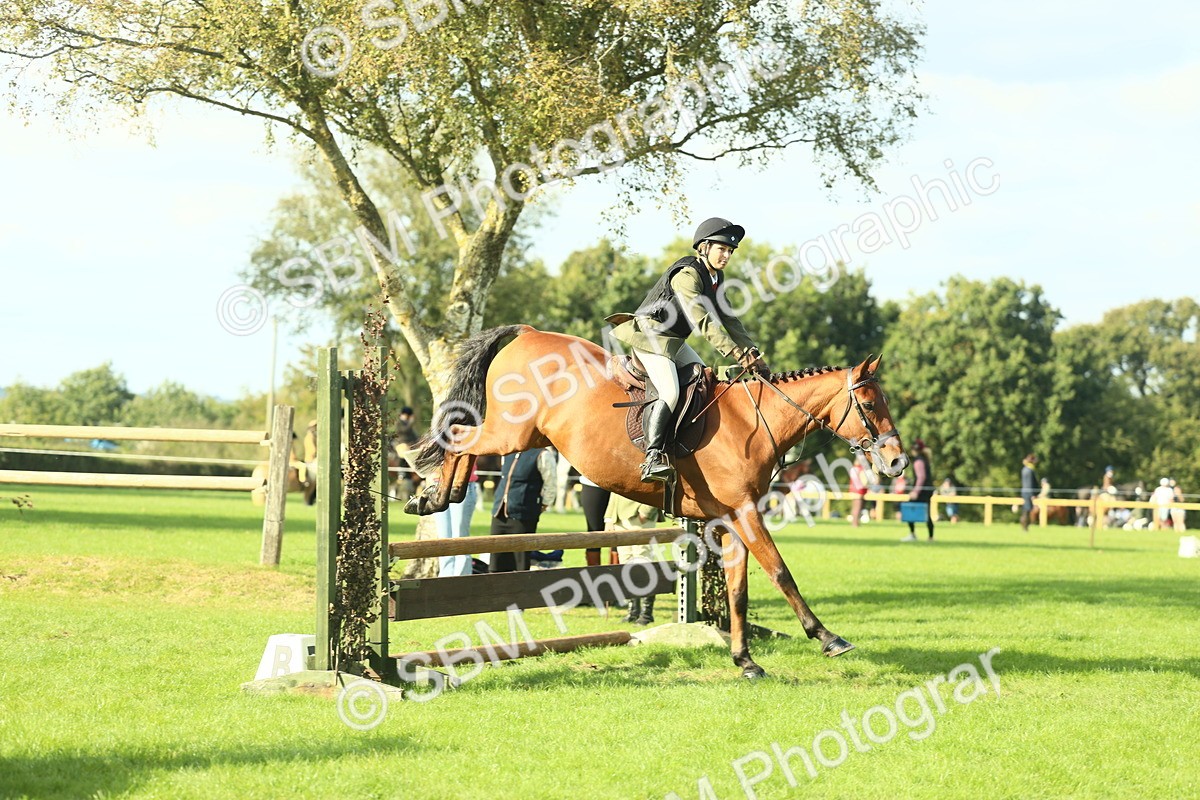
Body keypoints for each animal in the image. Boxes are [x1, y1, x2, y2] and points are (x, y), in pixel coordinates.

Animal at [406, 325, 908, 678]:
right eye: (869, 405)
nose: (898, 462)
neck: (757, 421)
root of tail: (528, 333)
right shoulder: (746, 513)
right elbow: (781, 573)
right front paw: (827, 637)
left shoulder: (733, 518)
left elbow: (738, 589)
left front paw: (745, 660)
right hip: (513, 432)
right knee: (459, 435)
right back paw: (432, 496)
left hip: (523, 436)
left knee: (463, 441)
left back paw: (441, 495)